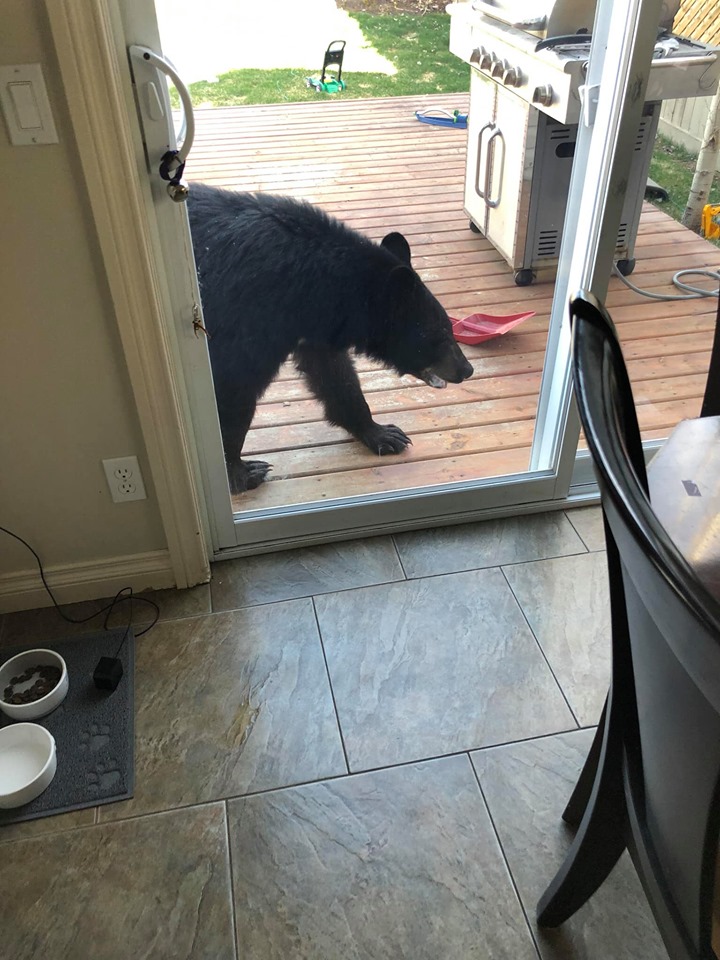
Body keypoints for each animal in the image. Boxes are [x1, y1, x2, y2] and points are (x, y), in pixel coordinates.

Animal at [187, 182, 474, 495]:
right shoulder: (250, 315)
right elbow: (233, 386)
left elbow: (334, 374)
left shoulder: (313, 327)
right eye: (441, 334)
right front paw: (239, 471)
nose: (467, 369)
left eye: (450, 328)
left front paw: (381, 433)